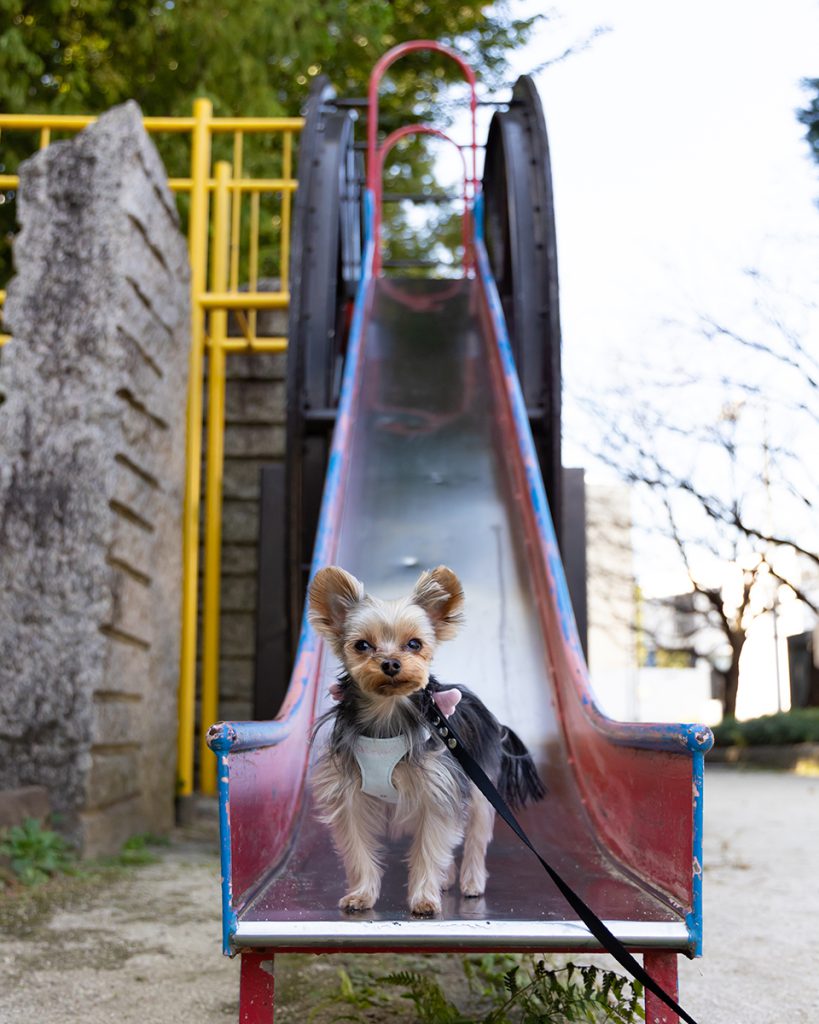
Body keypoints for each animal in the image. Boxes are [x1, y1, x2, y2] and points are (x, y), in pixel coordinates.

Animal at [307, 565, 544, 917]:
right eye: (362, 645)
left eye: (414, 644)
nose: (391, 663)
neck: (387, 715)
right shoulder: (350, 797)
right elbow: (359, 848)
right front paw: (361, 895)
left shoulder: (438, 791)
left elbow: (430, 847)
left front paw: (423, 899)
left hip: (480, 789)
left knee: (475, 839)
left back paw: (471, 882)